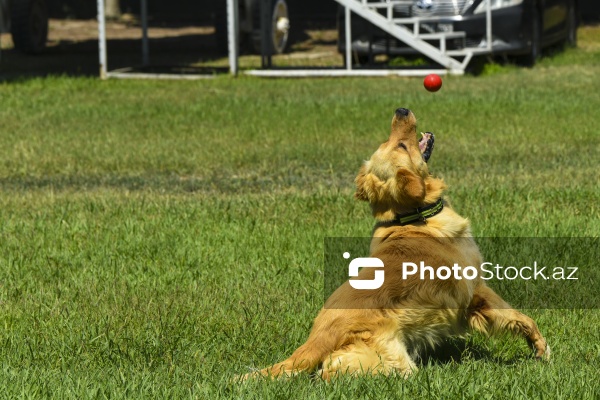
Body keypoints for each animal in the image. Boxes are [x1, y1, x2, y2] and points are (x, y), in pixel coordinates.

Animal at [241, 107, 552, 382]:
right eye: (403, 144)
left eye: (389, 142)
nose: (400, 110)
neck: (412, 217)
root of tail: (318, 336)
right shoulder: (478, 289)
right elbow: (520, 316)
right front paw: (540, 349)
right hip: (389, 359)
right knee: (332, 373)